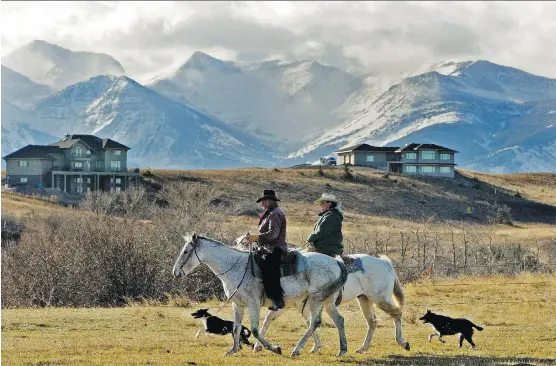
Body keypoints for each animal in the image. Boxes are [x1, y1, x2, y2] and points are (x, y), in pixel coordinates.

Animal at [172, 234, 350, 358]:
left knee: (315, 322)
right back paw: (342, 350)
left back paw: (296, 349)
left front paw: (275, 348)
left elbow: (256, 330)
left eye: (186, 251)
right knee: (338, 320)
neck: (236, 267)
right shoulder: (237, 304)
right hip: (327, 301)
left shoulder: (253, 304)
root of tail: (337, 262)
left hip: (315, 299)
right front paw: (233, 350)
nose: (176, 272)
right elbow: (236, 328)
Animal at [254, 253, 410, 354]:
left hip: (380, 299)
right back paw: (362, 348)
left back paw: (402, 342)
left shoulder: (302, 305)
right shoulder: (291, 306)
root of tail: (386, 263)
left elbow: (311, 322)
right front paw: (258, 346)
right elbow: (269, 319)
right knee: (371, 322)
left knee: (397, 314)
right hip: (364, 299)